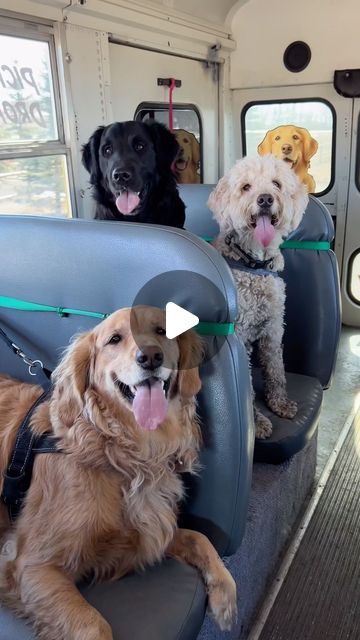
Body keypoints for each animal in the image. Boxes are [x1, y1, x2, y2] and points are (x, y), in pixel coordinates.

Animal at [208, 154, 310, 440]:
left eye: (276, 183)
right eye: (246, 187)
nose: (265, 199)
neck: (254, 264)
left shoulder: (274, 328)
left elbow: (276, 370)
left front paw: (280, 403)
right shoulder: (240, 337)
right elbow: (249, 388)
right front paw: (258, 421)